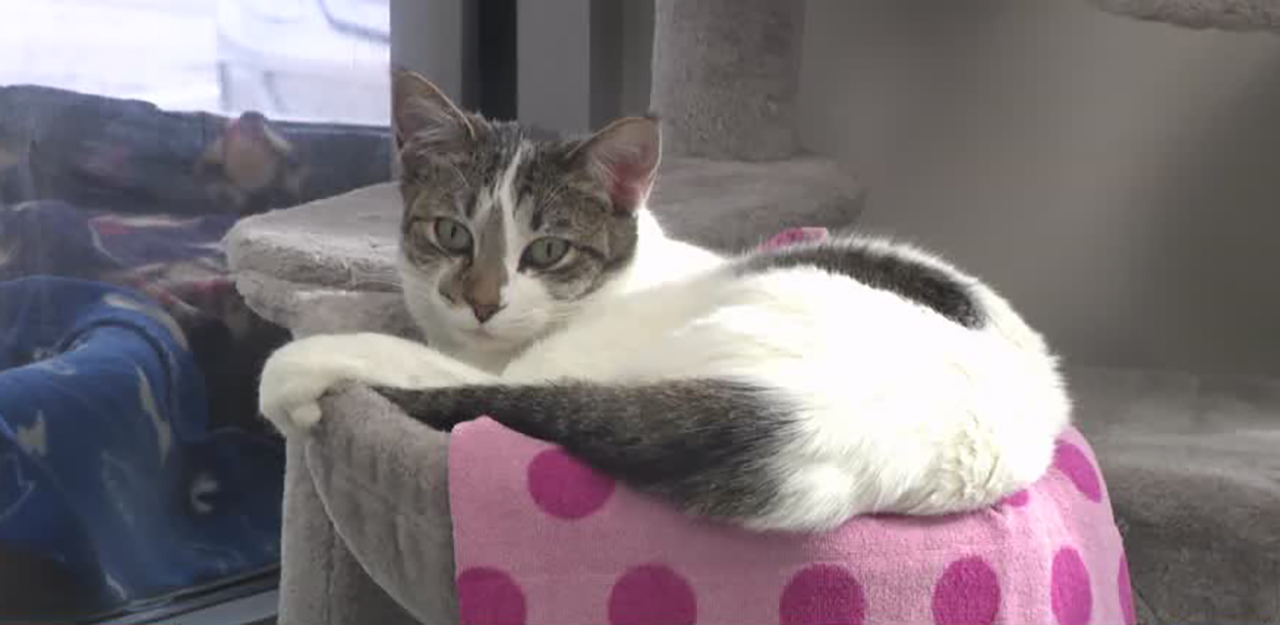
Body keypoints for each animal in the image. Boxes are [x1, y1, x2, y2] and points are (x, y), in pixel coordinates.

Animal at [252, 70, 1070, 532]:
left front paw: (298, 364)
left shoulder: (530, 368)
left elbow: (412, 360)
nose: (481, 301)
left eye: (547, 250)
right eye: (451, 232)